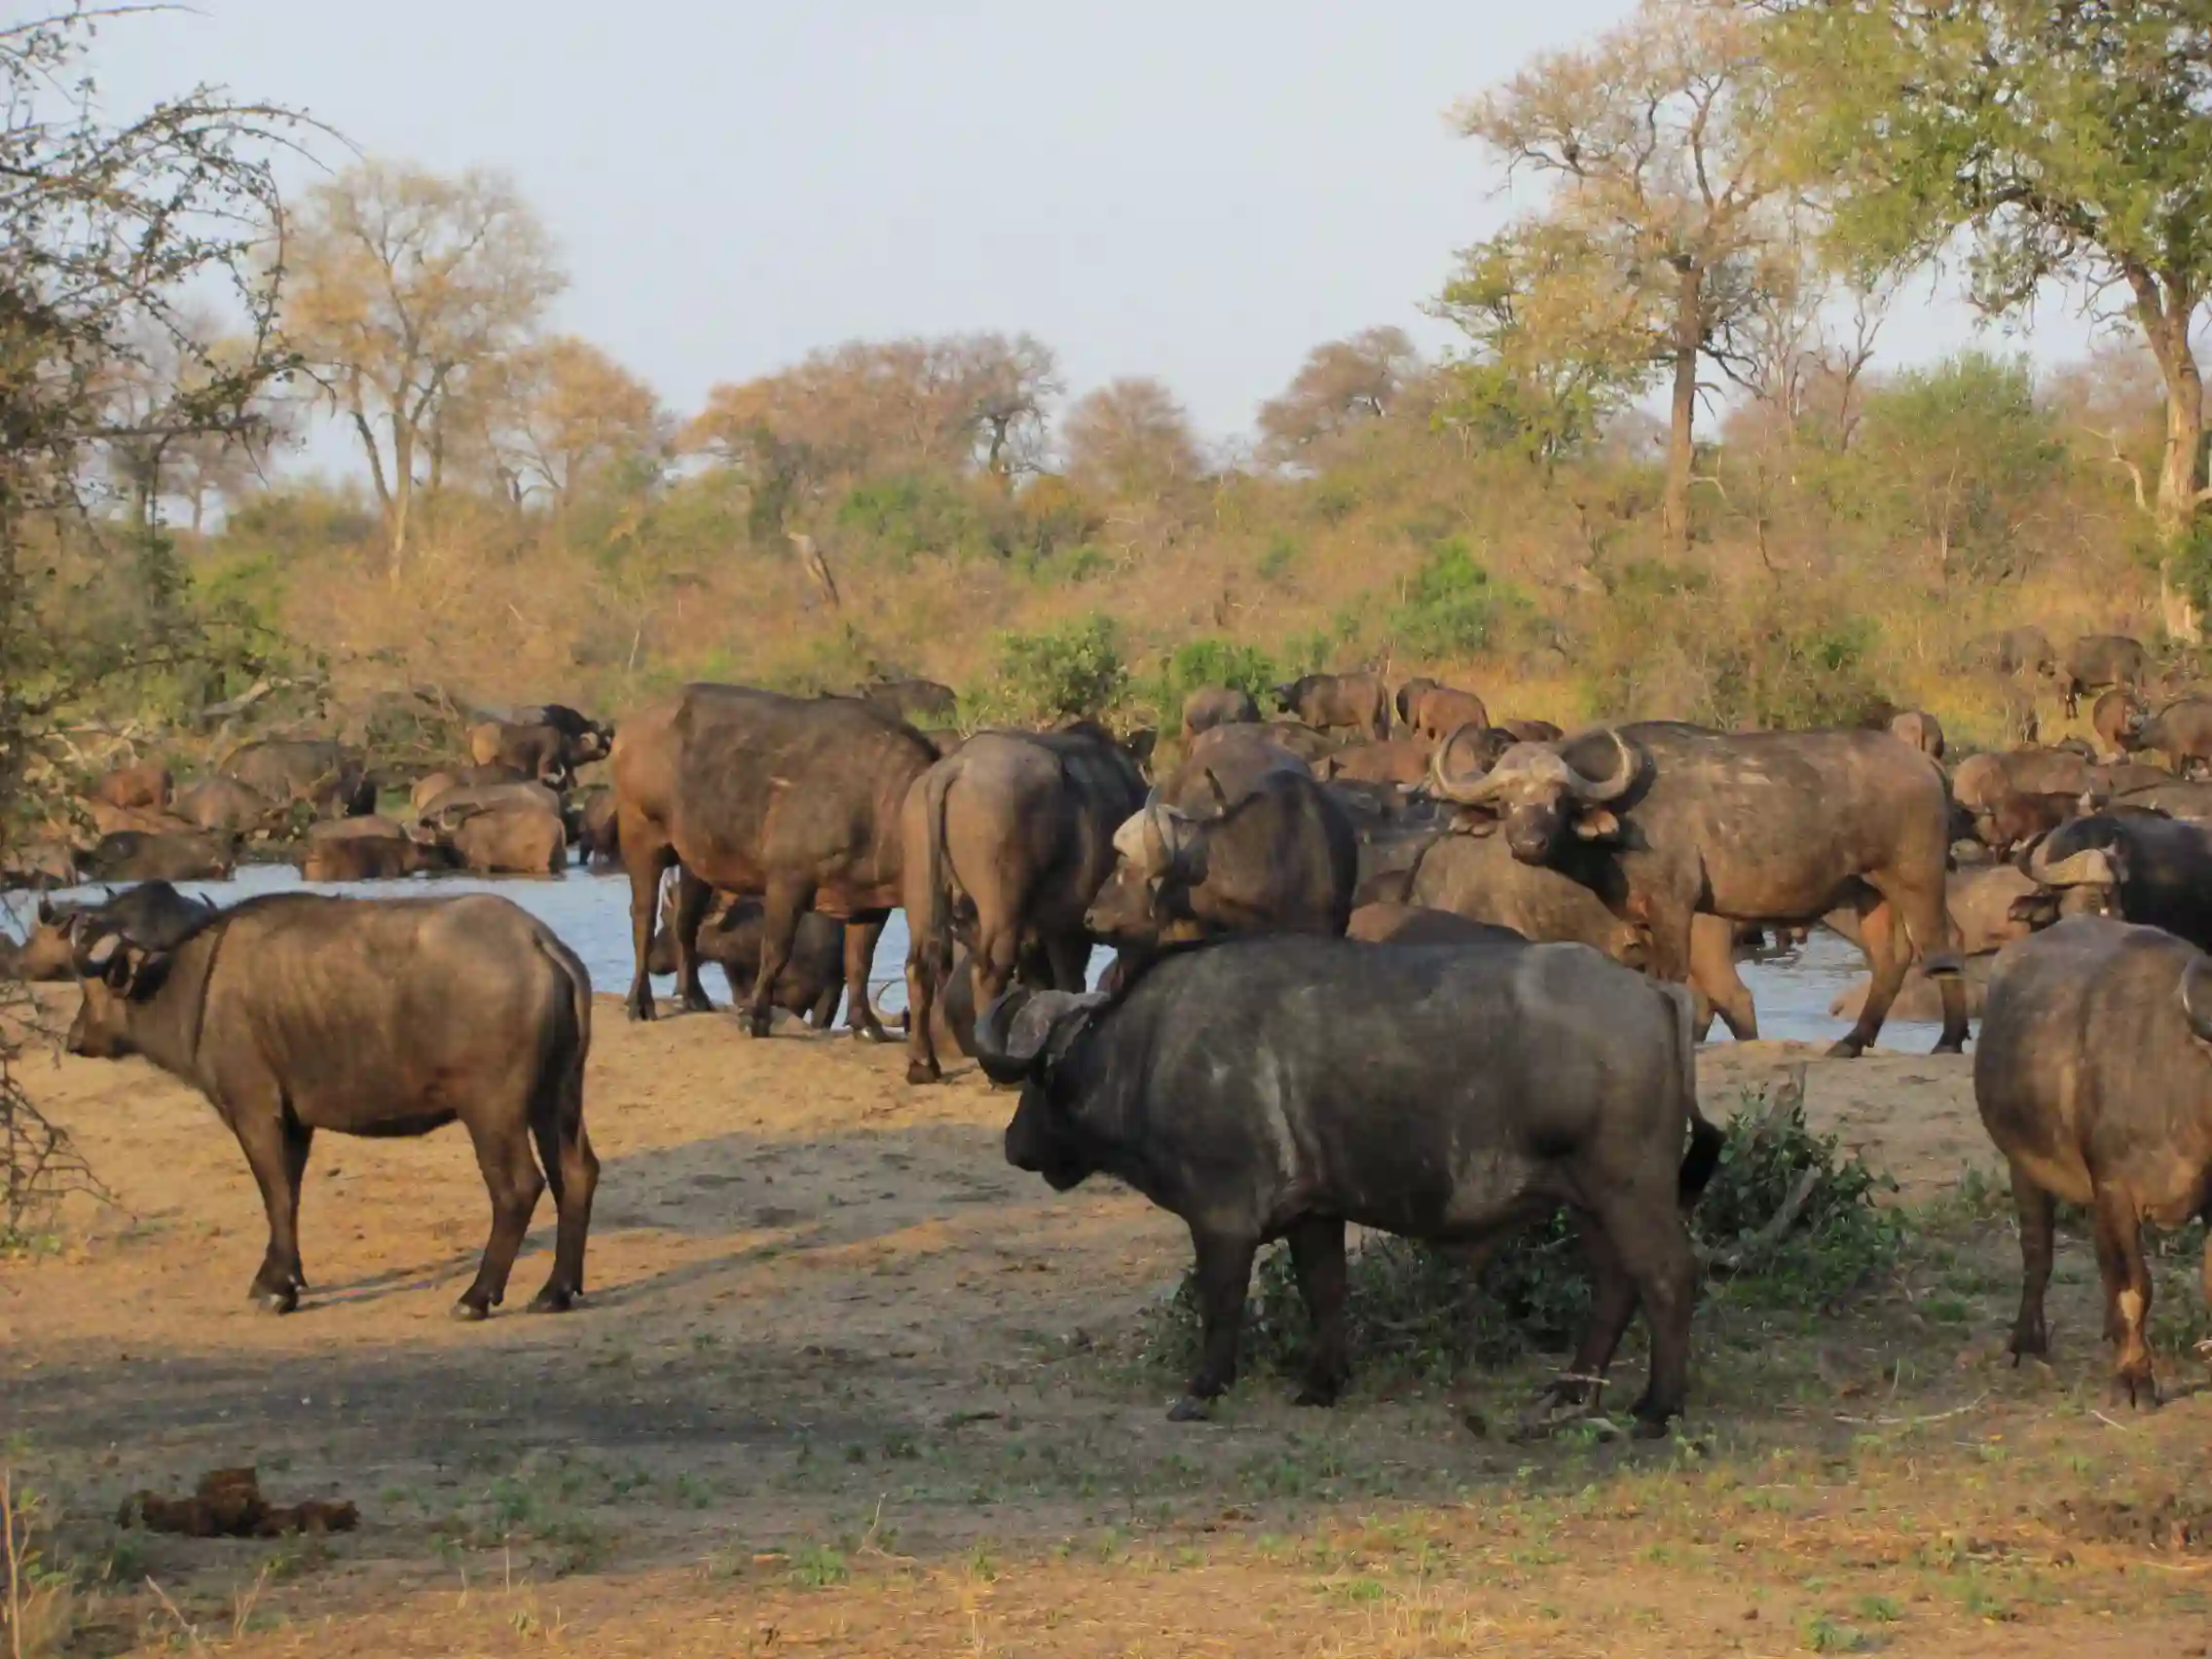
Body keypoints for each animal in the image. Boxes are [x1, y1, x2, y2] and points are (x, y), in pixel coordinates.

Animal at [986, 941, 1725, 1433]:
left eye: (1038, 1079)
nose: (1014, 1146)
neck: (1146, 1050)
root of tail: (1656, 992)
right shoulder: (1315, 1214)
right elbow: (1326, 1293)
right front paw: (1322, 1383)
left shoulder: (1221, 1219)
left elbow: (1221, 1304)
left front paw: (1202, 1389)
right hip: (1592, 1202)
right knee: (1615, 1286)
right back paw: (1571, 1393)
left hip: (1630, 1191)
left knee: (1667, 1276)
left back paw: (1657, 1407)